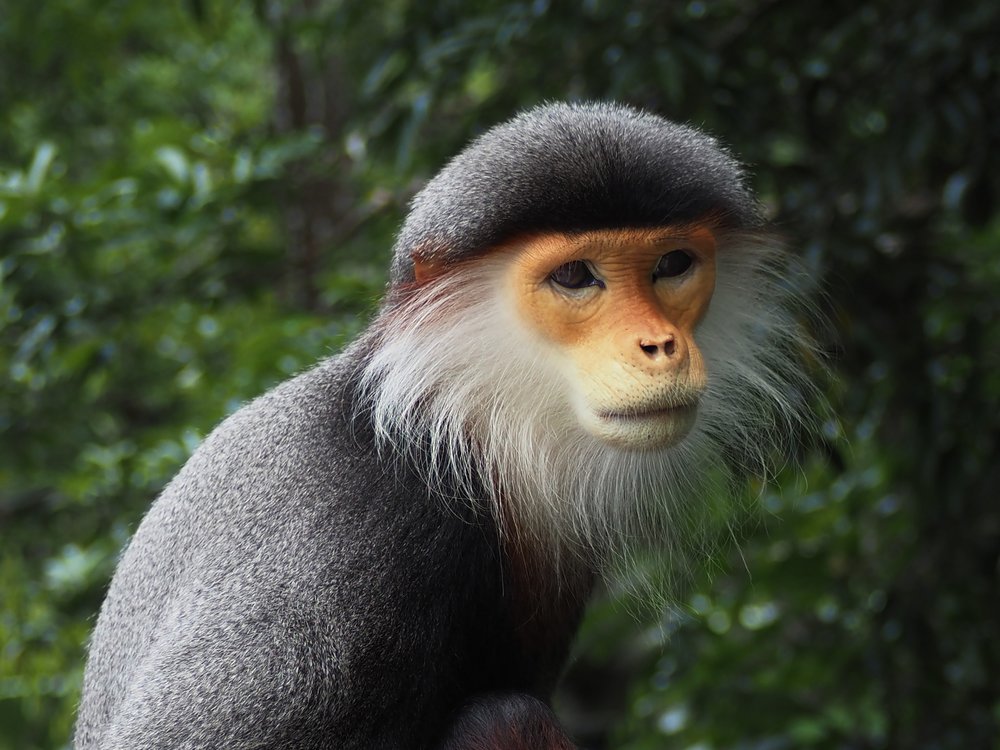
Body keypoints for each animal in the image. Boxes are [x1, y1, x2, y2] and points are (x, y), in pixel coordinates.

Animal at [74, 102, 811, 749]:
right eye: (577, 276)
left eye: (672, 266)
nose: (659, 345)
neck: (450, 437)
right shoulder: (342, 550)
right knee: (504, 716)